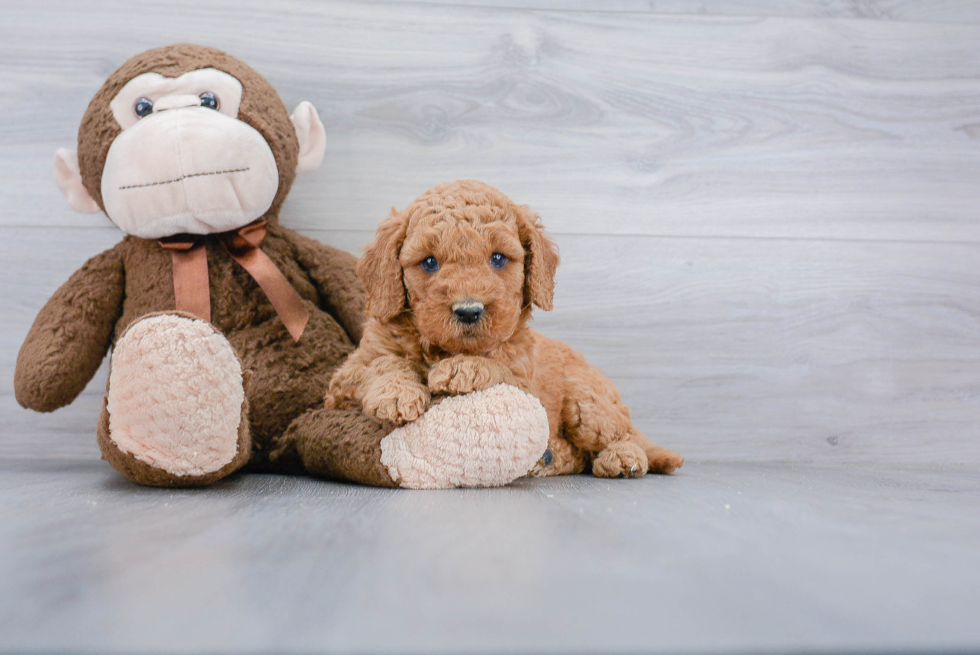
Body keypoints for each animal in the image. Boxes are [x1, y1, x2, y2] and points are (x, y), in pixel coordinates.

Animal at [326, 182, 684, 480]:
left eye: (498, 258)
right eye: (429, 262)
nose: (469, 310)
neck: (443, 348)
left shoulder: (525, 382)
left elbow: (498, 368)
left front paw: (463, 368)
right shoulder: (344, 381)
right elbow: (380, 364)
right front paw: (397, 393)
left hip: (587, 402)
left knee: (620, 435)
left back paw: (622, 458)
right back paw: (550, 458)